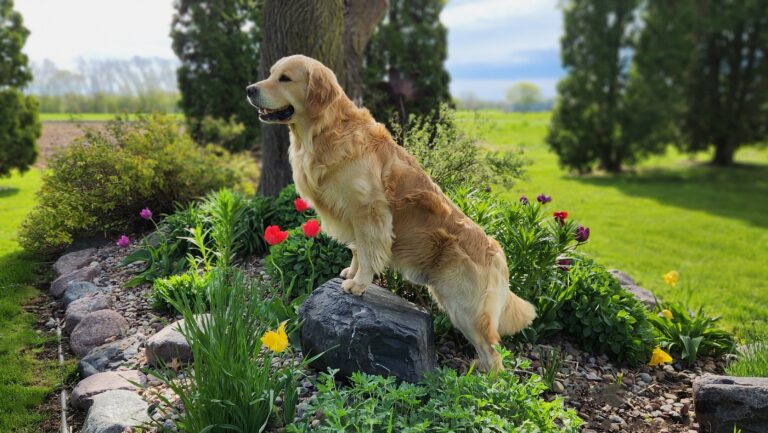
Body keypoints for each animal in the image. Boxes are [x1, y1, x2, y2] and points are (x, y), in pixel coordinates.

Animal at [246, 54, 536, 372]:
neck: (323, 132)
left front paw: (359, 284)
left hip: (465, 308)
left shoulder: (368, 210)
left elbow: (368, 250)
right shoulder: (354, 215)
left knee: (494, 356)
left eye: (285, 78)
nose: (249, 89)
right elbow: (357, 249)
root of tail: (499, 256)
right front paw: (351, 273)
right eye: (271, 74)